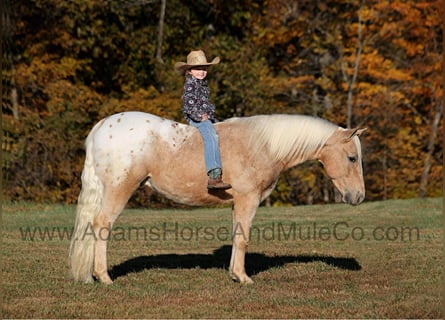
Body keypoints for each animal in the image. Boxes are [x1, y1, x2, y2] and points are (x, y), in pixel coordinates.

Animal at [69, 111, 366, 284]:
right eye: (352, 158)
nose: (359, 196)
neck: (263, 145)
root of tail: (102, 126)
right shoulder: (248, 200)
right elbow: (244, 237)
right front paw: (243, 278)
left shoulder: (238, 203)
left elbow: (237, 236)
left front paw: (235, 273)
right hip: (119, 189)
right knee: (102, 225)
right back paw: (104, 277)